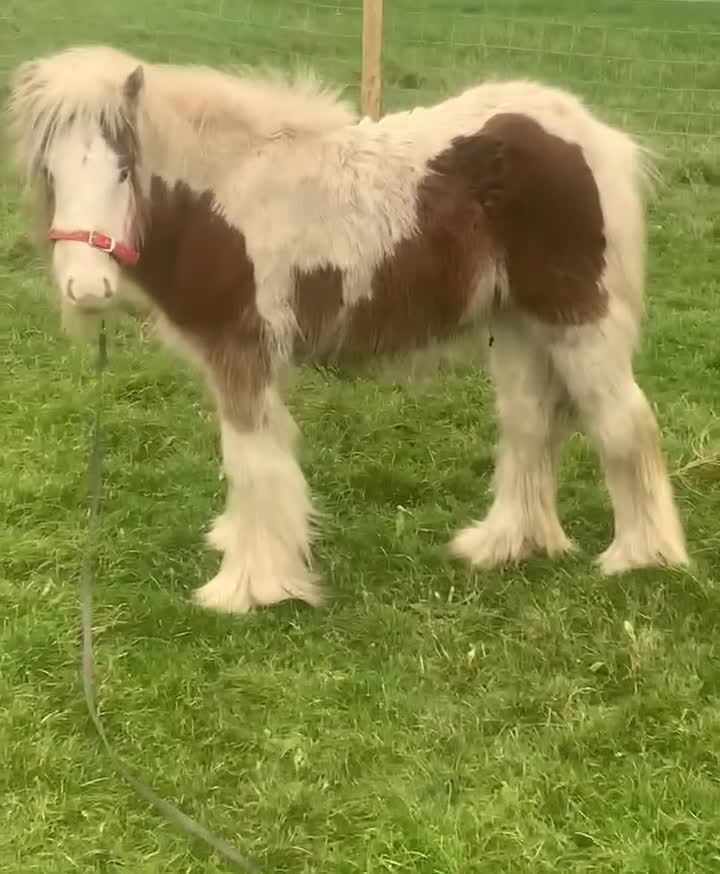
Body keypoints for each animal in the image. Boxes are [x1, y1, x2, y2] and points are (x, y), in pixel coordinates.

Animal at [6, 44, 688, 614]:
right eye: (50, 173)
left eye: (124, 169)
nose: (87, 289)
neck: (221, 199)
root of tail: (592, 135)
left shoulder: (242, 352)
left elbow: (253, 462)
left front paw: (250, 588)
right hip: (517, 326)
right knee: (529, 425)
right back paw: (506, 544)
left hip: (578, 322)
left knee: (625, 423)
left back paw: (641, 559)